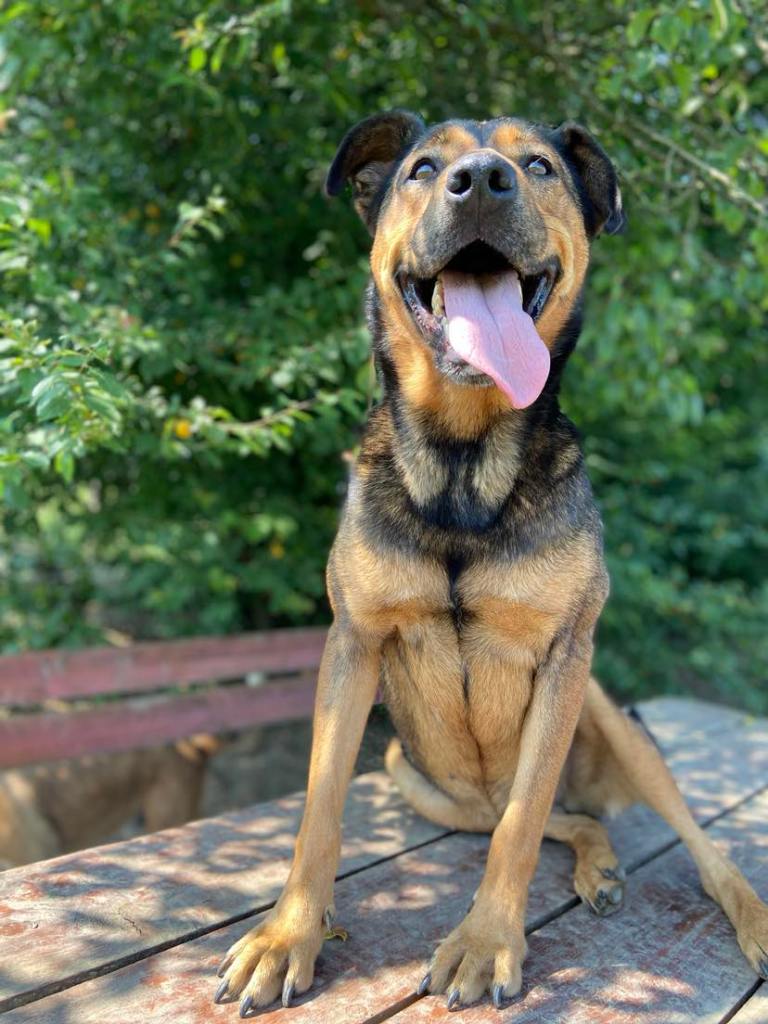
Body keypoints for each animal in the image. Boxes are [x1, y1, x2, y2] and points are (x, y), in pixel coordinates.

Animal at [214, 111, 768, 1013]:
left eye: (537, 166)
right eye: (422, 168)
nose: (479, 181)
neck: (463, 463)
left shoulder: (567, 653)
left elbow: (521, 828)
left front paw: (485, 942)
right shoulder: (353, 642)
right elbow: (320, 809)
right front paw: (289, 934)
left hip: (616, 722)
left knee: (678, 843)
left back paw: (742, 913)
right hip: (419, 776)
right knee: (564, 818)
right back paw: (598, 865)